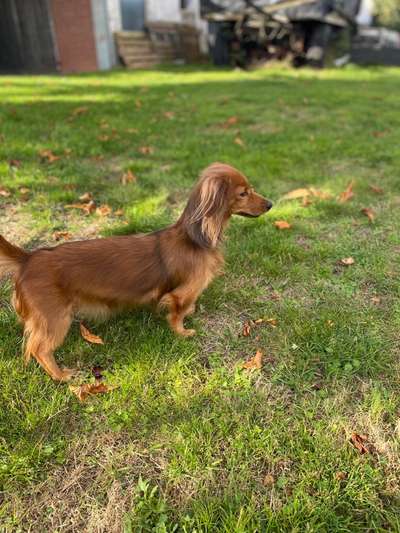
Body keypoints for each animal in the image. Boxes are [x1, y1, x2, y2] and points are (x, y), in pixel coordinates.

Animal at [0, 162, 272, 378]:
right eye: (243, 193)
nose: (270, 204)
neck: (194, 239)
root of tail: (28, 258)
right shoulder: (180, 293)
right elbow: (177, 315)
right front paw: (183, 332)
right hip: (55, 319)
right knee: (39, 349)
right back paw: (61, 376)